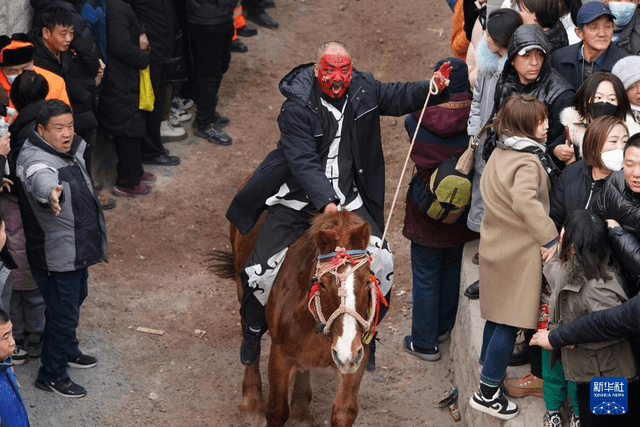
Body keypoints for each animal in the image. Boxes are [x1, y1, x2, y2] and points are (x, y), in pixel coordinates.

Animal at [222, 211, 384, 427]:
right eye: (323, 284)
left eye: (367, 282)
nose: (345, 350)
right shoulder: (280, 356)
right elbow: (277, 411)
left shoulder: (356, 357)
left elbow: (344, 411)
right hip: (243, 284)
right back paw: (252, 402)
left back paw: (300, 409)